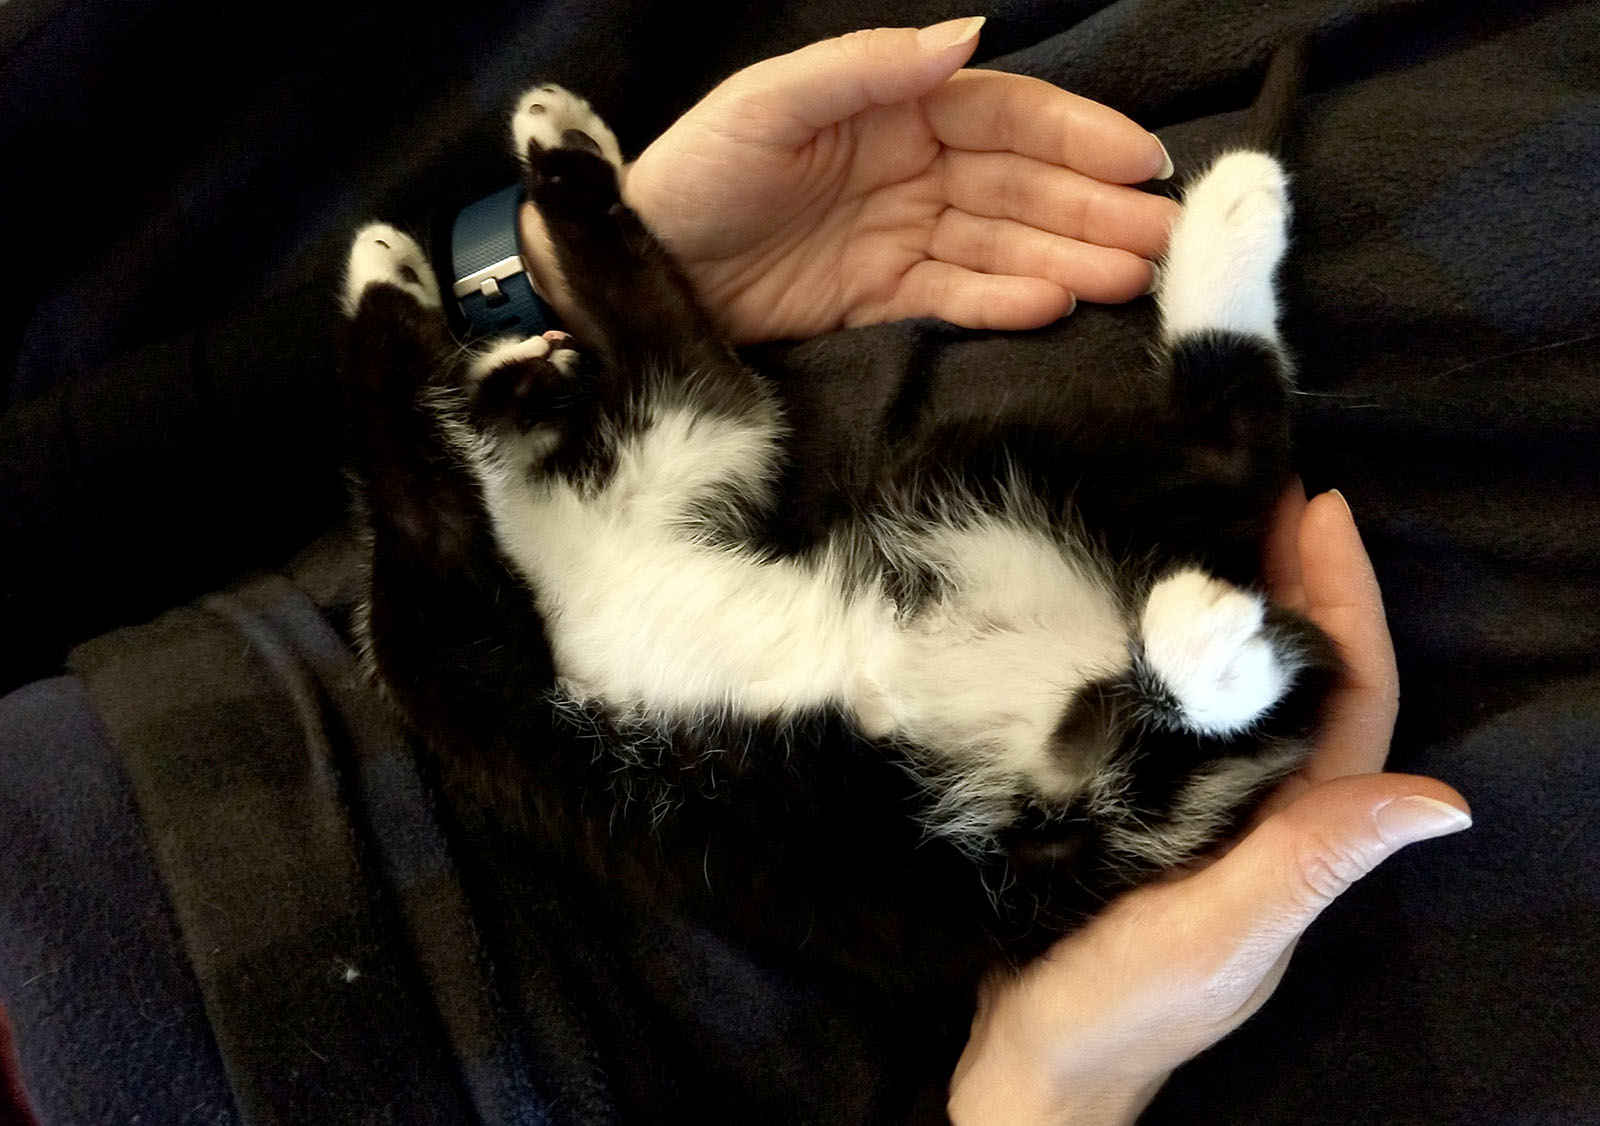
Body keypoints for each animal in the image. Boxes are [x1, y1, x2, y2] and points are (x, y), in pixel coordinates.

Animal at [337, 83, 1337, 991]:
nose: (548, 365)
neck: (538, 513)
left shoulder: (689, 431)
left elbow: (641, 318)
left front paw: (549, 161)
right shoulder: (456, 630)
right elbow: (414, 471)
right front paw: (401, 288)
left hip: (978, 475)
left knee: (1227, 450)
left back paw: (1235, 208)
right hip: (1008, 793)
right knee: (1216, 494)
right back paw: (1216, 640)